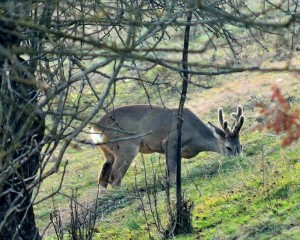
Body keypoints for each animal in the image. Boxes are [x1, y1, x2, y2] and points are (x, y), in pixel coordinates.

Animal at [91, 105, 244, 188]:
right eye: (229, 147)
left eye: (241, 145)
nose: (240, 159)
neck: (195, 137)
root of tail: (96, 127)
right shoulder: (170, 141)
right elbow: (171, 170)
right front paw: (171, 184)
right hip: (126, 147)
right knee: (114, 177)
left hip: (108, 152)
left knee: (103, 177)